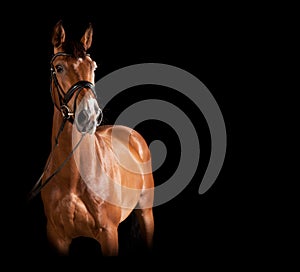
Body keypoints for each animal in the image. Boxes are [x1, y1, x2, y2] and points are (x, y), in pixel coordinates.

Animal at [29, 20, 155, 256]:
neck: (74, 177)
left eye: (93, 66)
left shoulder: (108, 234)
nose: (89, 114)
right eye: (59, 68)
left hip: (146, 212)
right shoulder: (57, 236)